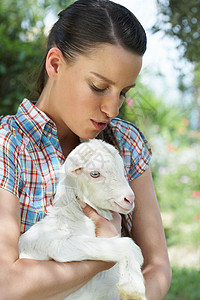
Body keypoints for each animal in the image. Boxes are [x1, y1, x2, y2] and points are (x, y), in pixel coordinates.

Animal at [19, 139, 145, 298]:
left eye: (121, 168)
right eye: (95, 173)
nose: (129, 199)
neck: (71, 217)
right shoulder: (52, 243)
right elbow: (122, 245)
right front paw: (133, 286)